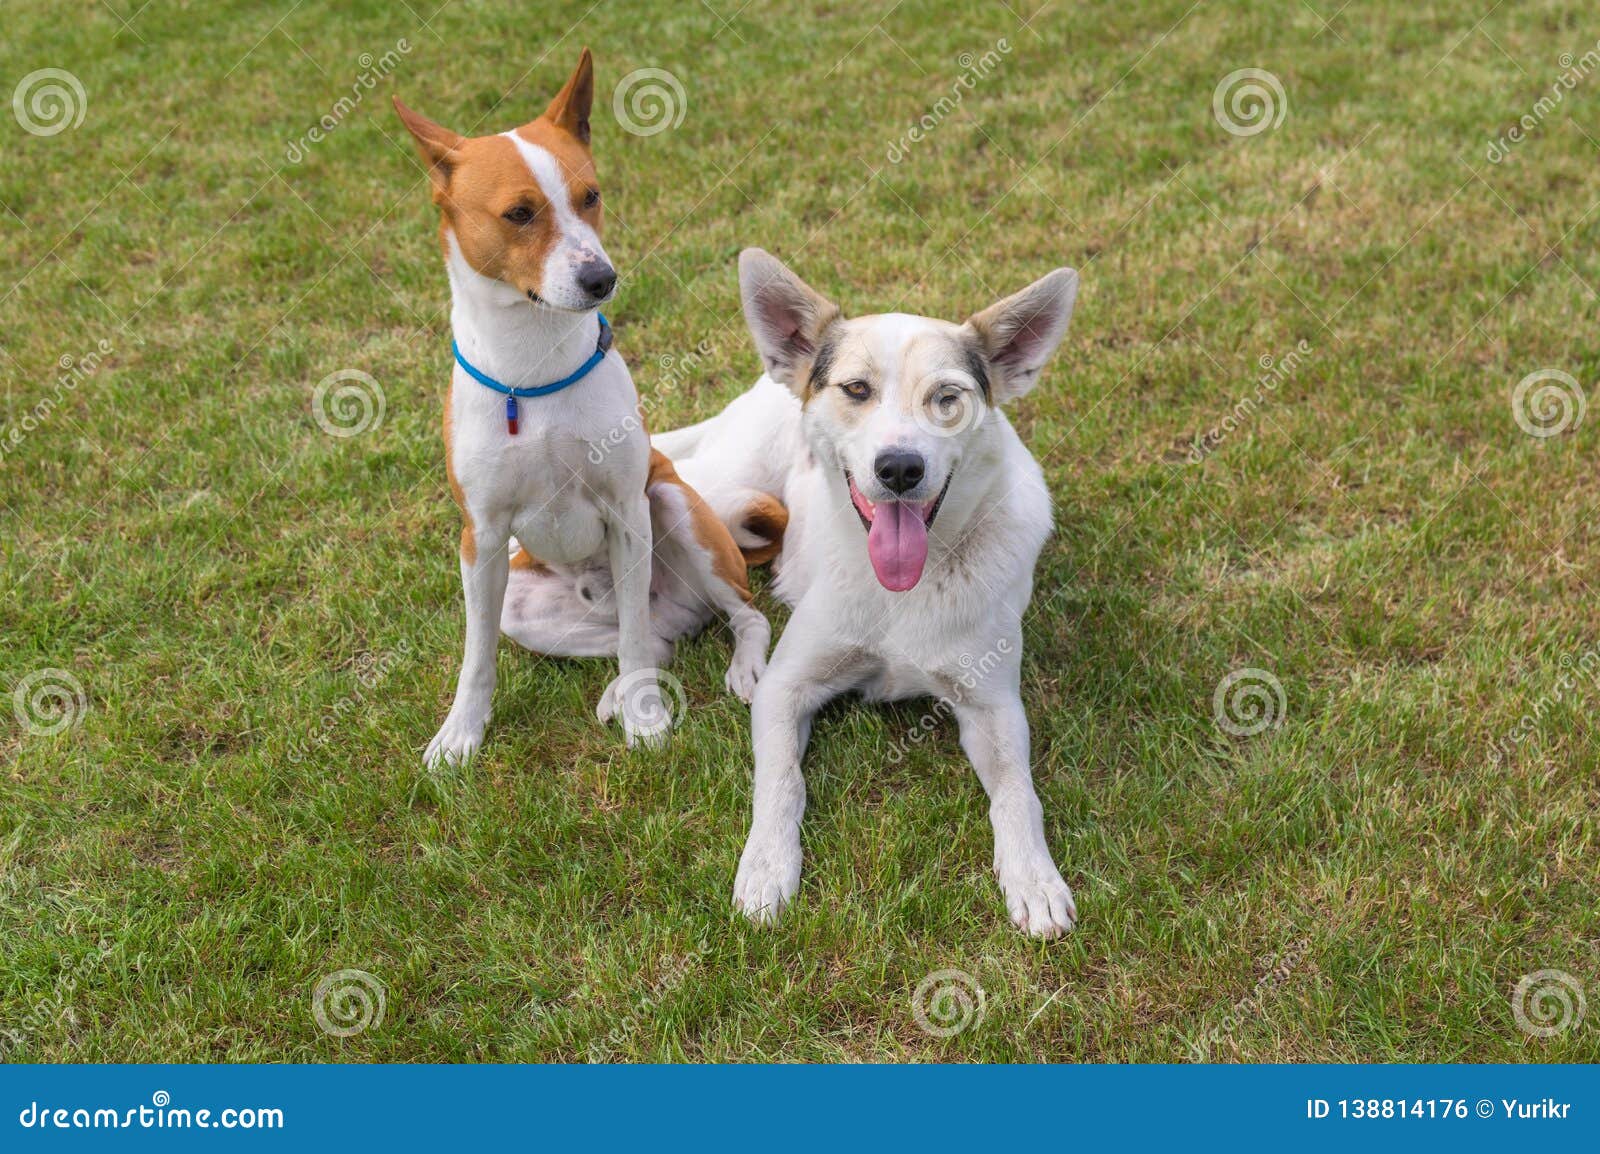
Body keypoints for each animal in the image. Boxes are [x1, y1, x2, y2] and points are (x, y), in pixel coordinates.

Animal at [398, 51, 774, 765]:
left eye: (590, 196)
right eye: (520, 213)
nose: (602, 279)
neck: (533, 367)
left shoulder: (628, 511)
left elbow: (633, 641)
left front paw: (648, 720)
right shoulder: (481, 538)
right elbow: (476, 657)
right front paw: (461, 734)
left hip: (674, 508)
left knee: (732, 617)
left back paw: (732, 670)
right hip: (524, 604)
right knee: (656, 638)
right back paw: (619, 689)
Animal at [656, 248, 1081, 934]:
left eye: (947, 398)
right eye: (857, 389)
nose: (900, 468)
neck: (904, 588)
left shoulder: (994, 707)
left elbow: (1019, 793)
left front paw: (1033, 877)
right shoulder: (788, 688)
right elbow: (781, 783)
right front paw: (767, 867)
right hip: (710, 492)